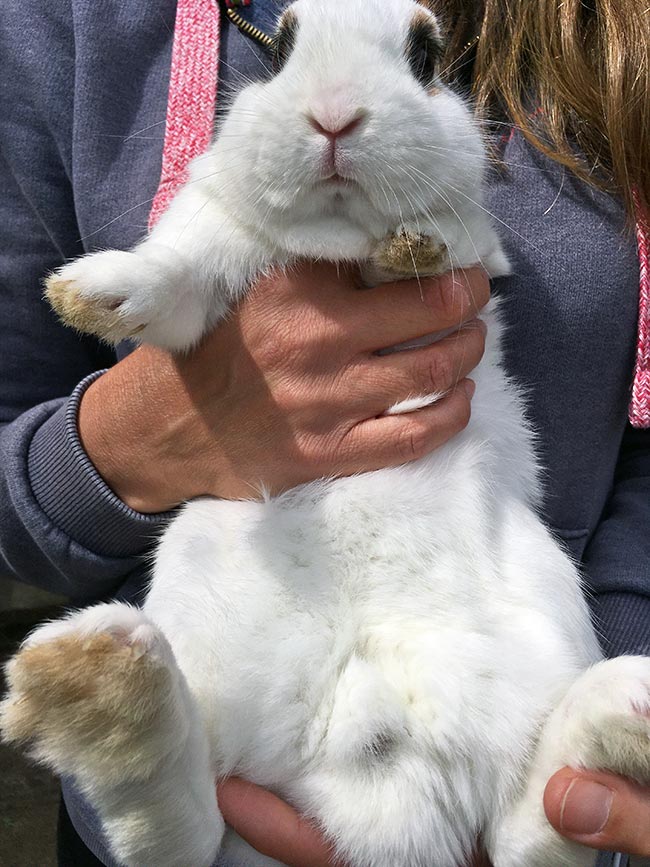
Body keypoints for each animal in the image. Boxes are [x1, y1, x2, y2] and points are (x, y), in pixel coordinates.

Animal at [1, 1, 648, 867]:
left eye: (425, 55)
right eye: (281, 50)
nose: (334, 115)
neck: (329, 241)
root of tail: (373, 799)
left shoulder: (473, 251)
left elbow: (442, 248)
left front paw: (408, 249)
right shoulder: (206, 239)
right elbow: (175, 277)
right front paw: (91, 294)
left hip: (542, 610)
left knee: (538, 821)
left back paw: (624, 707)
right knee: (183, 826)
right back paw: (98, 677)